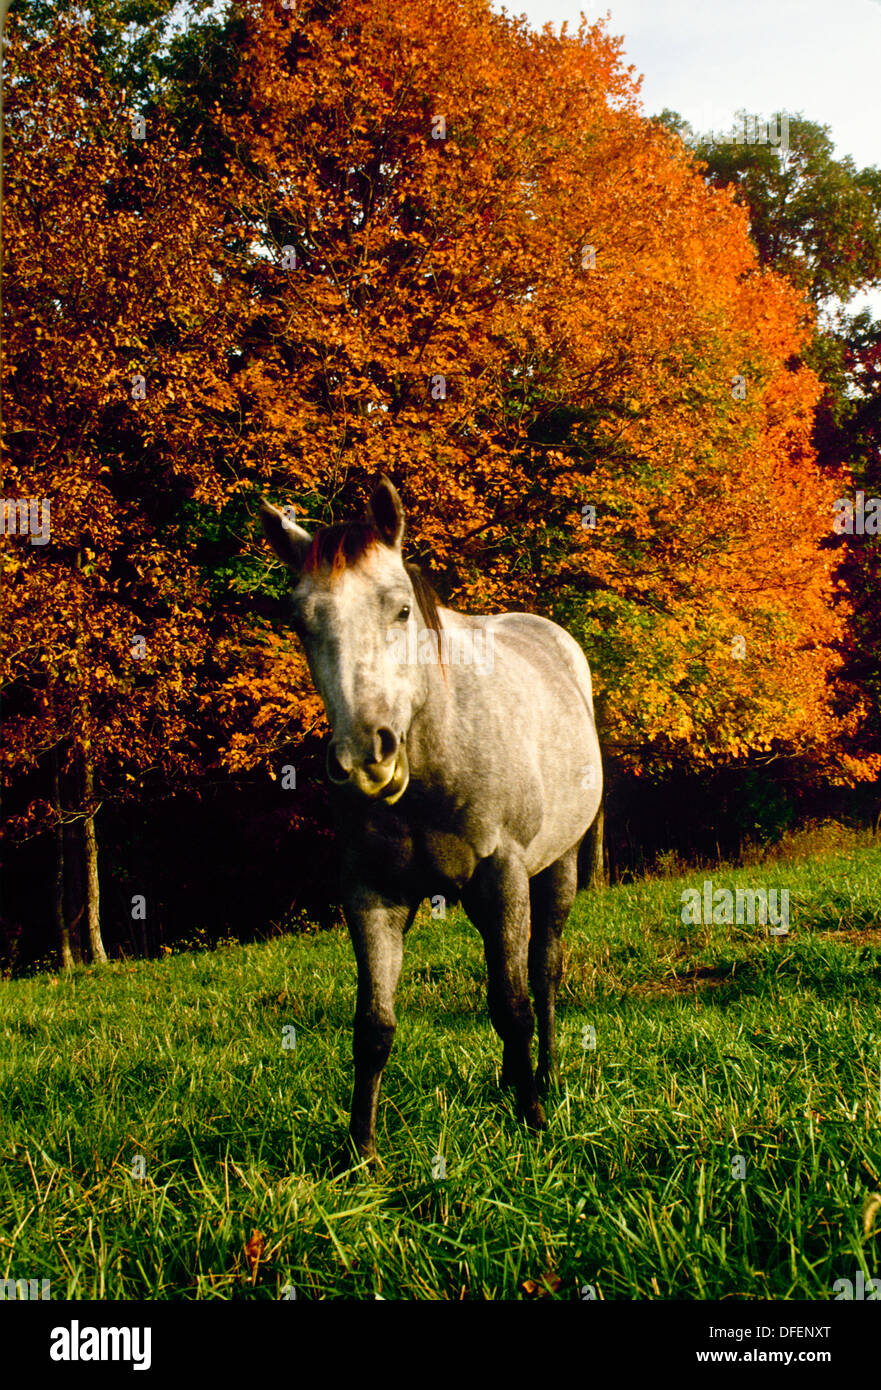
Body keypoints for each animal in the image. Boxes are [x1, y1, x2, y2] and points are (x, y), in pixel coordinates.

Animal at [261, 478, 600, 1162]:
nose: (366, 757)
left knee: (543, 972)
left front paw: (533, 1121)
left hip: (558, 868)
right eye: (299, 621)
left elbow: (515, 1003)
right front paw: (361, 1152)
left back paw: (544, 1076)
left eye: (399, 611)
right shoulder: (370, 891)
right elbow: (374, 1026)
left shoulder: (504, 873)